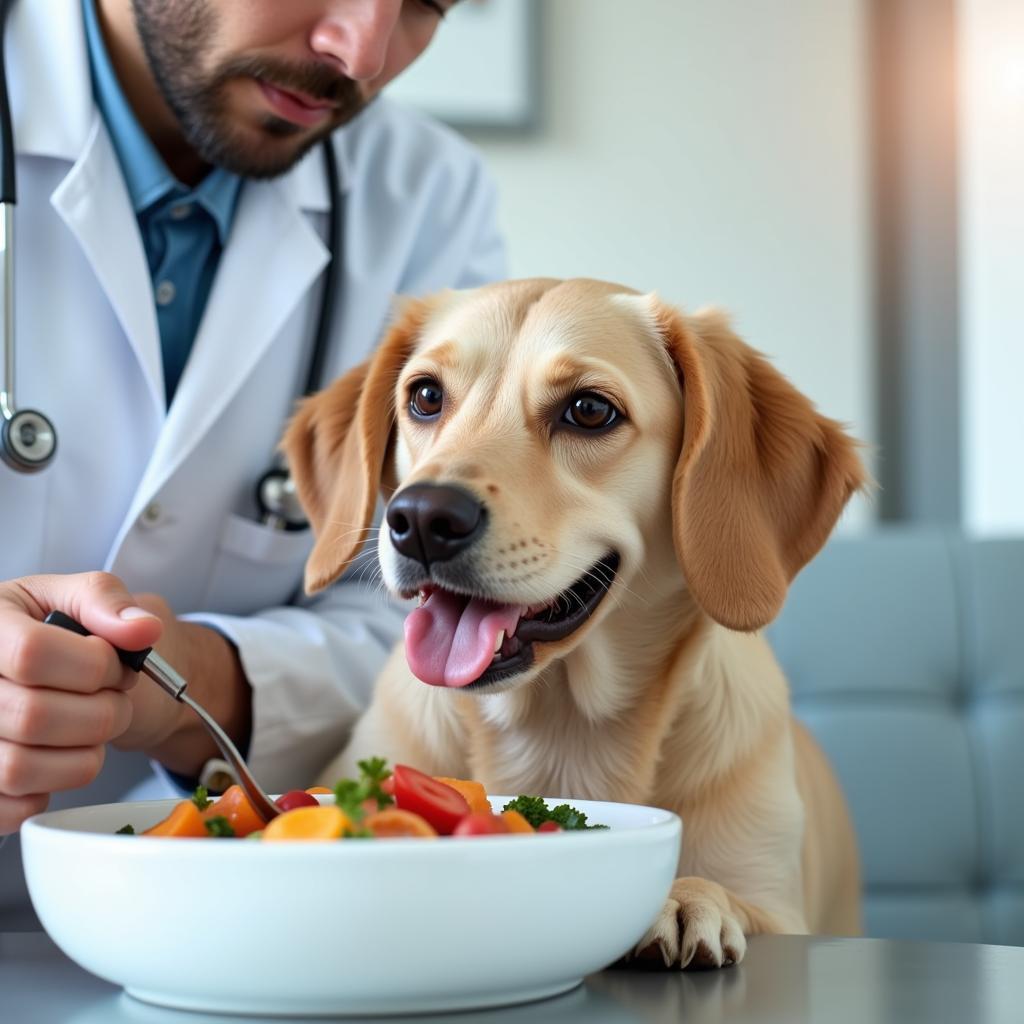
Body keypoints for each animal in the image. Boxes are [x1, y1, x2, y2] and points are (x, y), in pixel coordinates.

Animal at [278, 278, 864, 966]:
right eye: (425, 396)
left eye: (588, 410)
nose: (420, 518)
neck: (560, 732)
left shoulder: (777, 903)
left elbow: (730, 894)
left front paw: (684, 894)